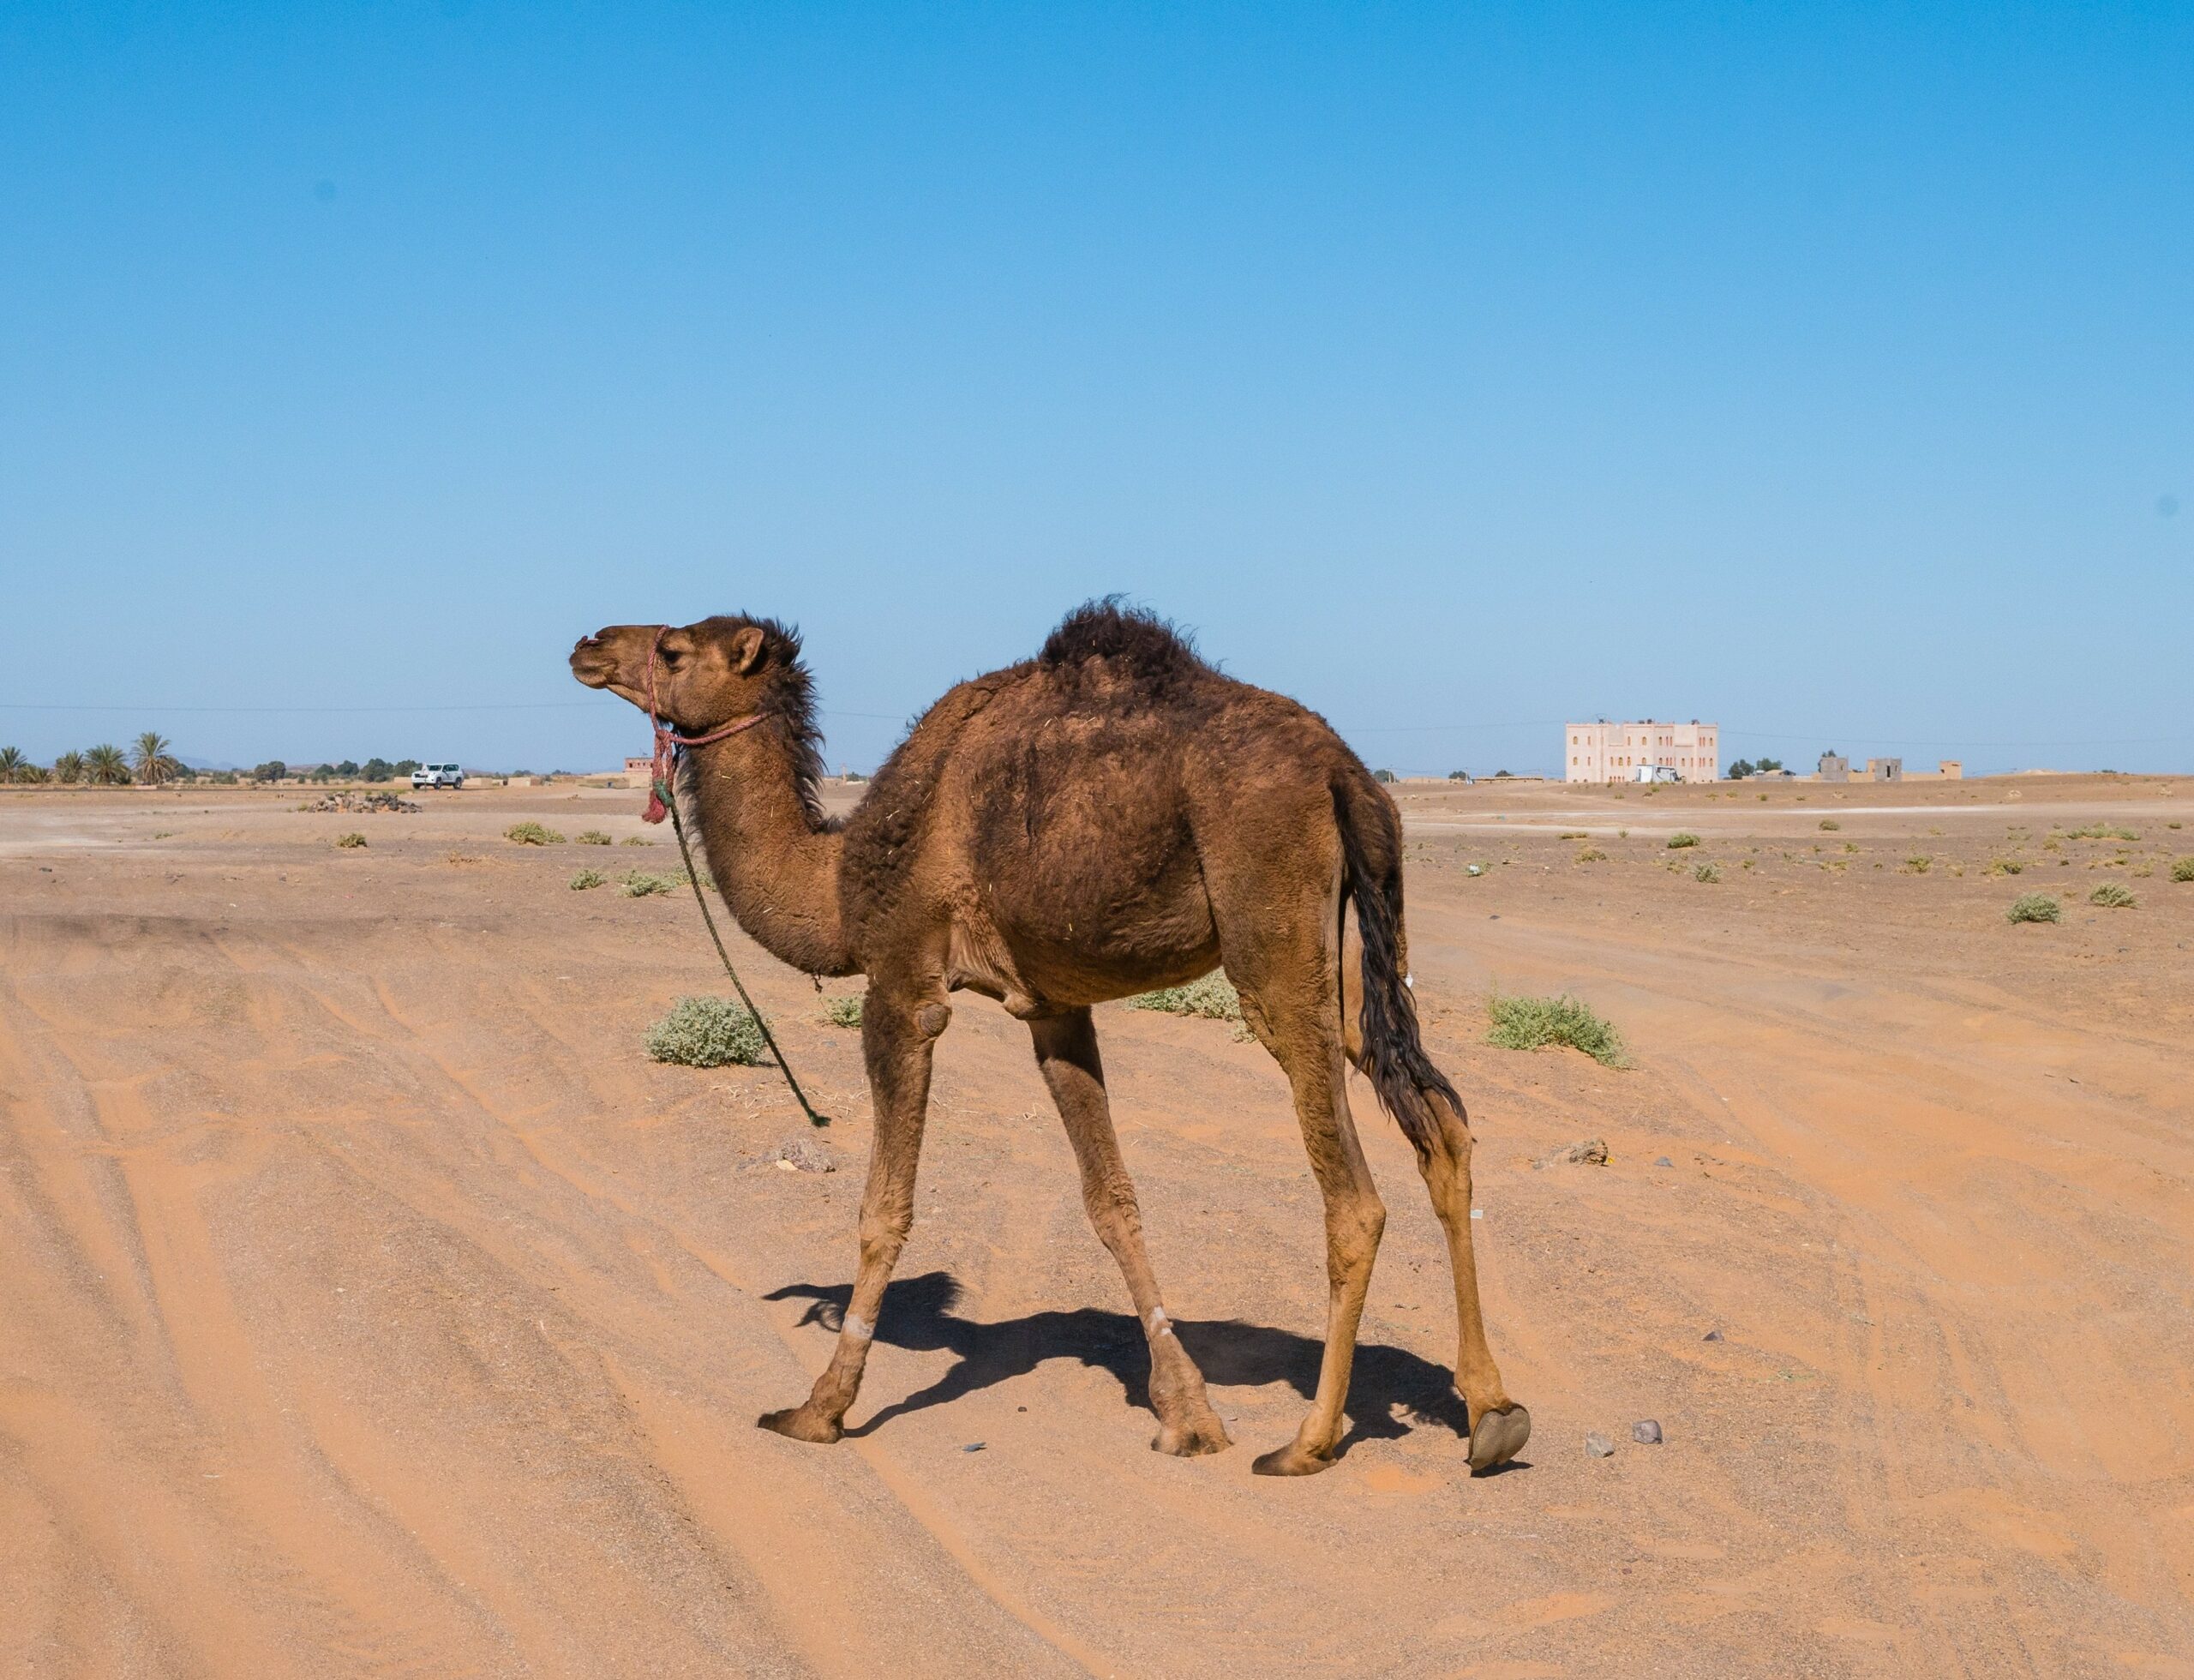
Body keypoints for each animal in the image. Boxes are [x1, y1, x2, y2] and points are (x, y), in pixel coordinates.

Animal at [566, 601, 1526, 1473]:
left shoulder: (903, 983)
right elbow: (1112, 1201)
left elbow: (885, 1209)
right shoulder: (1052, 1006)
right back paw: (1490, 1413)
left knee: (1354, 1197)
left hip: (1270, 923)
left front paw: (820, 1407)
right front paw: (1186, 1414)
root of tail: (1345, 773)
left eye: (673, 648)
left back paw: (1309, 1441)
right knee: (1441, 1125)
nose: (586, 644)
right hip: (1352, 951)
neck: (839, 878)